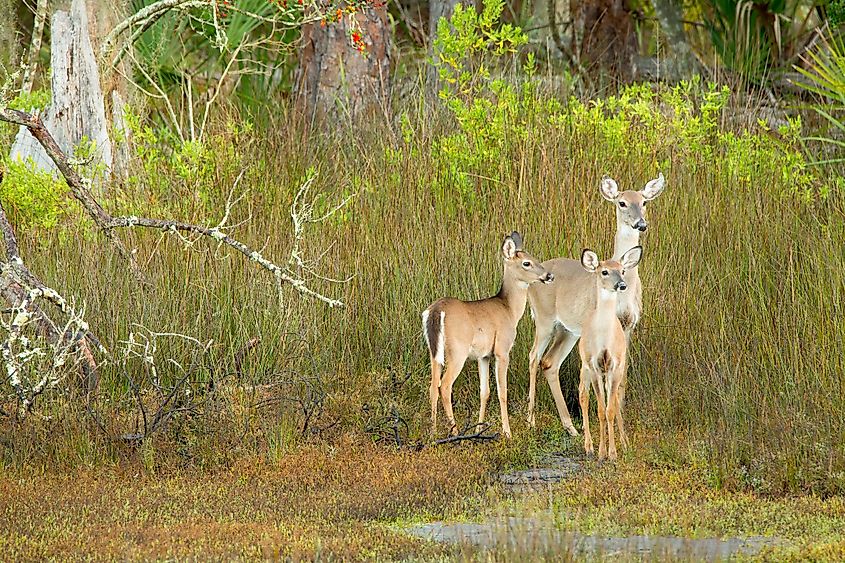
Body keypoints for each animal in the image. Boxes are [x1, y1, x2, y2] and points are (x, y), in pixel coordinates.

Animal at [422, 232, 552, 440]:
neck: (509, 310)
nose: (548, 275)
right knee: (445, 385)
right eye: (526, 263)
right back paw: (455, 432)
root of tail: (436, 311)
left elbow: (485, 392)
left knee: (433, 385)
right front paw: (507, 432)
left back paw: (433, 432)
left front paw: (478, 430)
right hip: (457, 351)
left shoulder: (483, 356)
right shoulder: (502, 350)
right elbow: (502, 392)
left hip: (434, 351)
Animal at [524, 174, 664, 434]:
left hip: (568, 329)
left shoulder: (629, 326)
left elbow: (621, 376)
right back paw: (531, 420)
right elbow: (592, 378)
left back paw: (569, 426)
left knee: (550, 362)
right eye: (621, 202)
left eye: (644, 202)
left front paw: (619, 421)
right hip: (544, 319)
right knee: (533, 357)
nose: (641, 224)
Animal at [576, 249, 644, 460]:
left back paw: (624, 442)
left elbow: (611, 408)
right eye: (604, 271)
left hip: (614, 370)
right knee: (583, 394)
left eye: (622, 270)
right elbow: (600, 410)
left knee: (612, 399)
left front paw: (613, 453)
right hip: (585, 365)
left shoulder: (615, 365)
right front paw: (601, 452)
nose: (621, 284)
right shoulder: (595, 365)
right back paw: (588, 446)